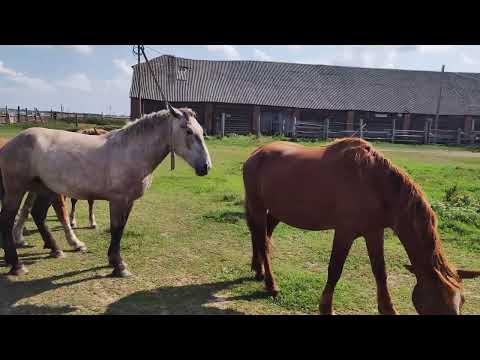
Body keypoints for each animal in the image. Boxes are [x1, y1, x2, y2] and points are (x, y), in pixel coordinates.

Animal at [0, 106, 211, 276]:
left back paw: (55, 250)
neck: (130, 150)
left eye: (202, 131)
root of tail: (12, 142)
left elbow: (121, 228)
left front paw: (114, 261)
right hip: (16, 190)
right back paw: (16, 264)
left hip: (45, 188)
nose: (206, 167)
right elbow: (116, 229)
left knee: (38, 214)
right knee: (8, 219)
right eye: (189, 131)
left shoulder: (129, 201)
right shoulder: (117, 200)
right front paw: (119, 266)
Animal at [244, 138, 480, 316]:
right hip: (258, 206)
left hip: (276, 211)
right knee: (262, 241)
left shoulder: (374, 232)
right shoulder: (344, 232)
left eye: (462, 302)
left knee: (263, 237)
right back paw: (271, 284)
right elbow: (335, 270)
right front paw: (326, 308)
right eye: (441, 302)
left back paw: (259, 270)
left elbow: (380, 271)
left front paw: (387, 309)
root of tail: (256, 153)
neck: (376, 184)